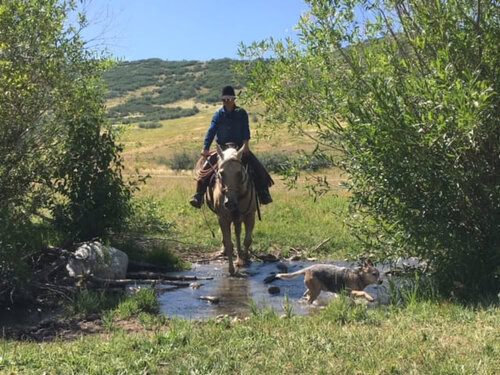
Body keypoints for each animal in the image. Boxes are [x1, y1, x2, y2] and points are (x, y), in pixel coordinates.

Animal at [205, 145, 256, 274]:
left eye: (239, 173)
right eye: (221, 173)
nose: (230, 203)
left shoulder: (250, 215)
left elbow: (247, 240)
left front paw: (245, 259)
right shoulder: (223, 218)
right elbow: (228, 243)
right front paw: (231, 269)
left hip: (239, 218)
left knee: (238, 233)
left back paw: (240, 256)